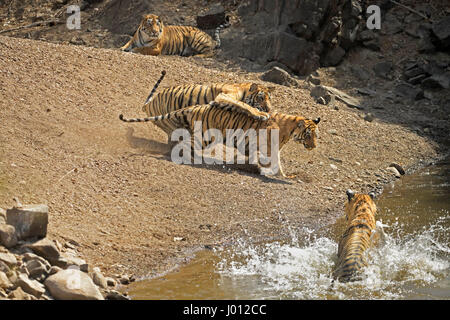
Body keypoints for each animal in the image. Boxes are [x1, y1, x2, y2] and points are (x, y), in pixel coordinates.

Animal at [141, 72, 274, 143]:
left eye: (269, 99)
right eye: (261, 98)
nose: (269, 109)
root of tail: (147, 105)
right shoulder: (222, 96)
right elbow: (244, 105)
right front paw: (261, 114)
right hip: (170, 123)